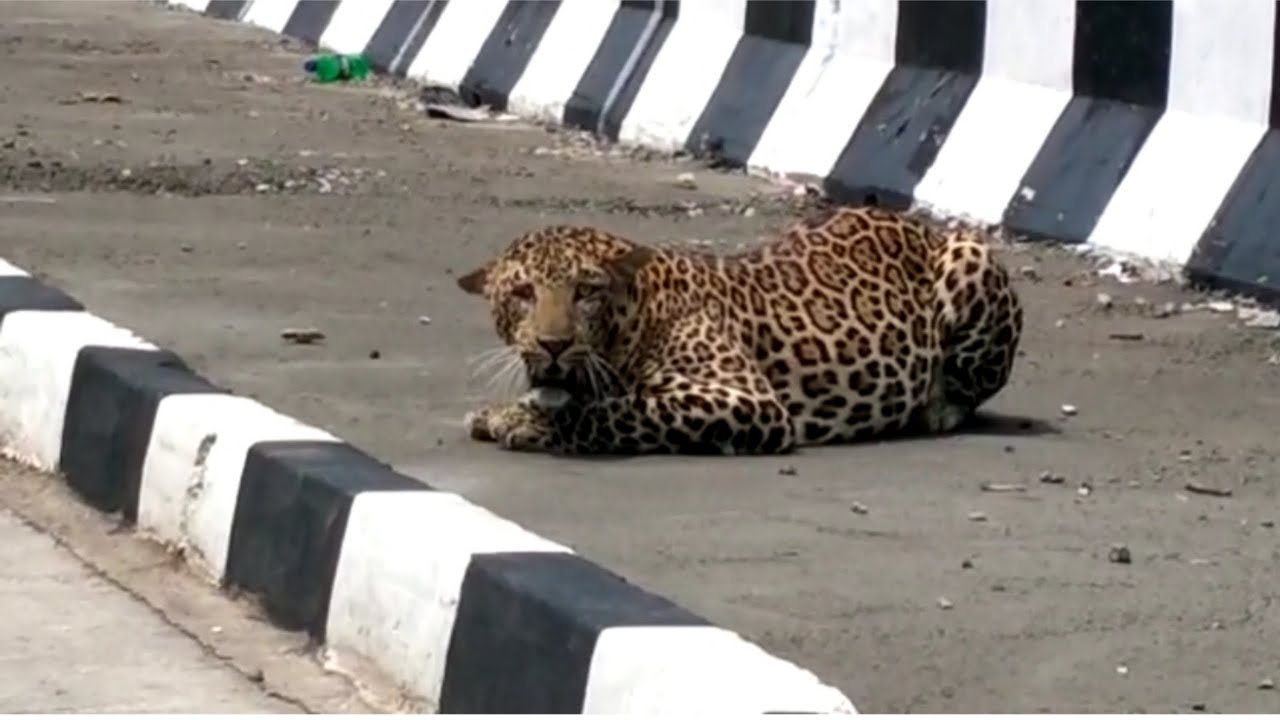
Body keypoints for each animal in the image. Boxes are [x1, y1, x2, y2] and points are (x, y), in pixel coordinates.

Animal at [456, 204, 1023, 456]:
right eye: (522, 292)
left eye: (586, 292)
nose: (553, 345)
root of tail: (921, 224)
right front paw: (508, 410)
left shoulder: (749, 400)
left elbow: (622, 411)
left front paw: (529, 424)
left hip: (972, 259)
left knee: (969, 389)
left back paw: (935, 408)